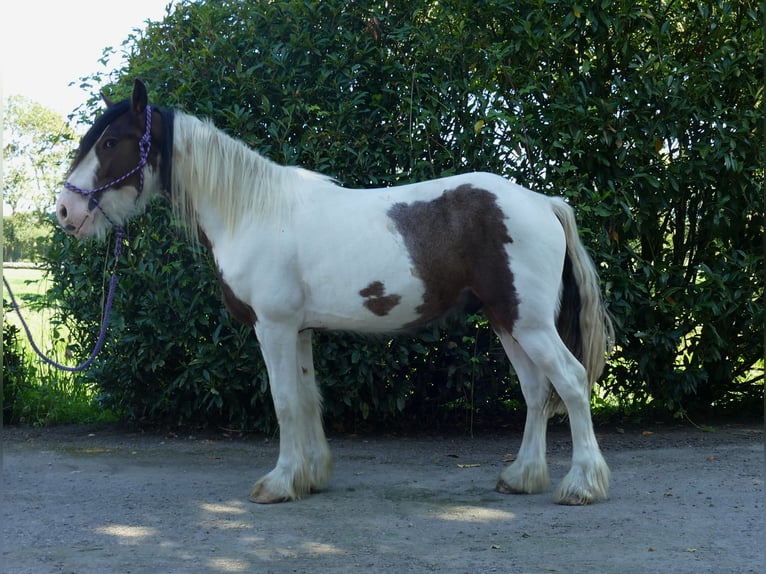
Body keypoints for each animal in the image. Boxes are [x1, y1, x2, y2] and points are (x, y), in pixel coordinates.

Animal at [56, 79, 614, 505]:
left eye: (111, 143)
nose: (65, 212)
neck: (253, 210)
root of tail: (543, 202)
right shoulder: (298, 330)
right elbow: (307, 399)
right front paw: (310, 475)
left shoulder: (274, 328)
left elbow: (283, 401)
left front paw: (279, 483)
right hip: (507, 323)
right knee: (537, 391)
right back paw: (523, 476)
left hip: (530, 324)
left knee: (570, 381)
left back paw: (582, 484)